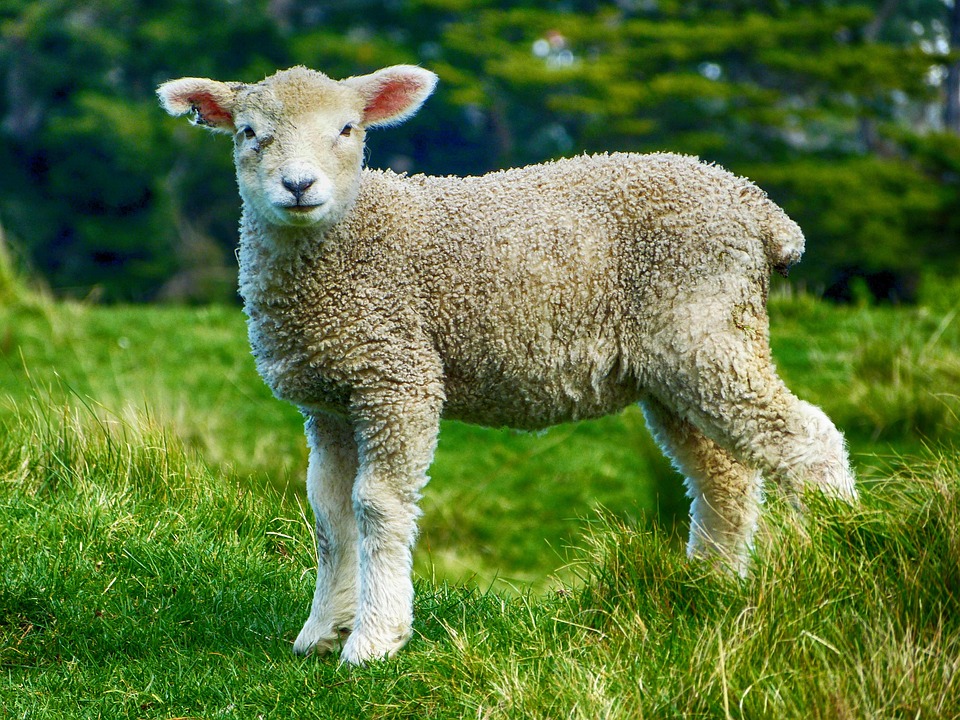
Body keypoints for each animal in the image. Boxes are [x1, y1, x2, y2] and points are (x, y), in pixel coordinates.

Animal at [157, 64, 857, 666]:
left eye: (348, 129)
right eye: (250, 133)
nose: (299, 186)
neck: (350, 240)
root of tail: (762, 212)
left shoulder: (397, 375)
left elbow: (376, 504)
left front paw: (375, 638)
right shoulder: (331, 397)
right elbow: (330, 515)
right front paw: (321, 632)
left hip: (706, 330)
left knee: (806, 439)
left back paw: (840, 557)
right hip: (677, 363)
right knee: (723, 477)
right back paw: (708, 590)